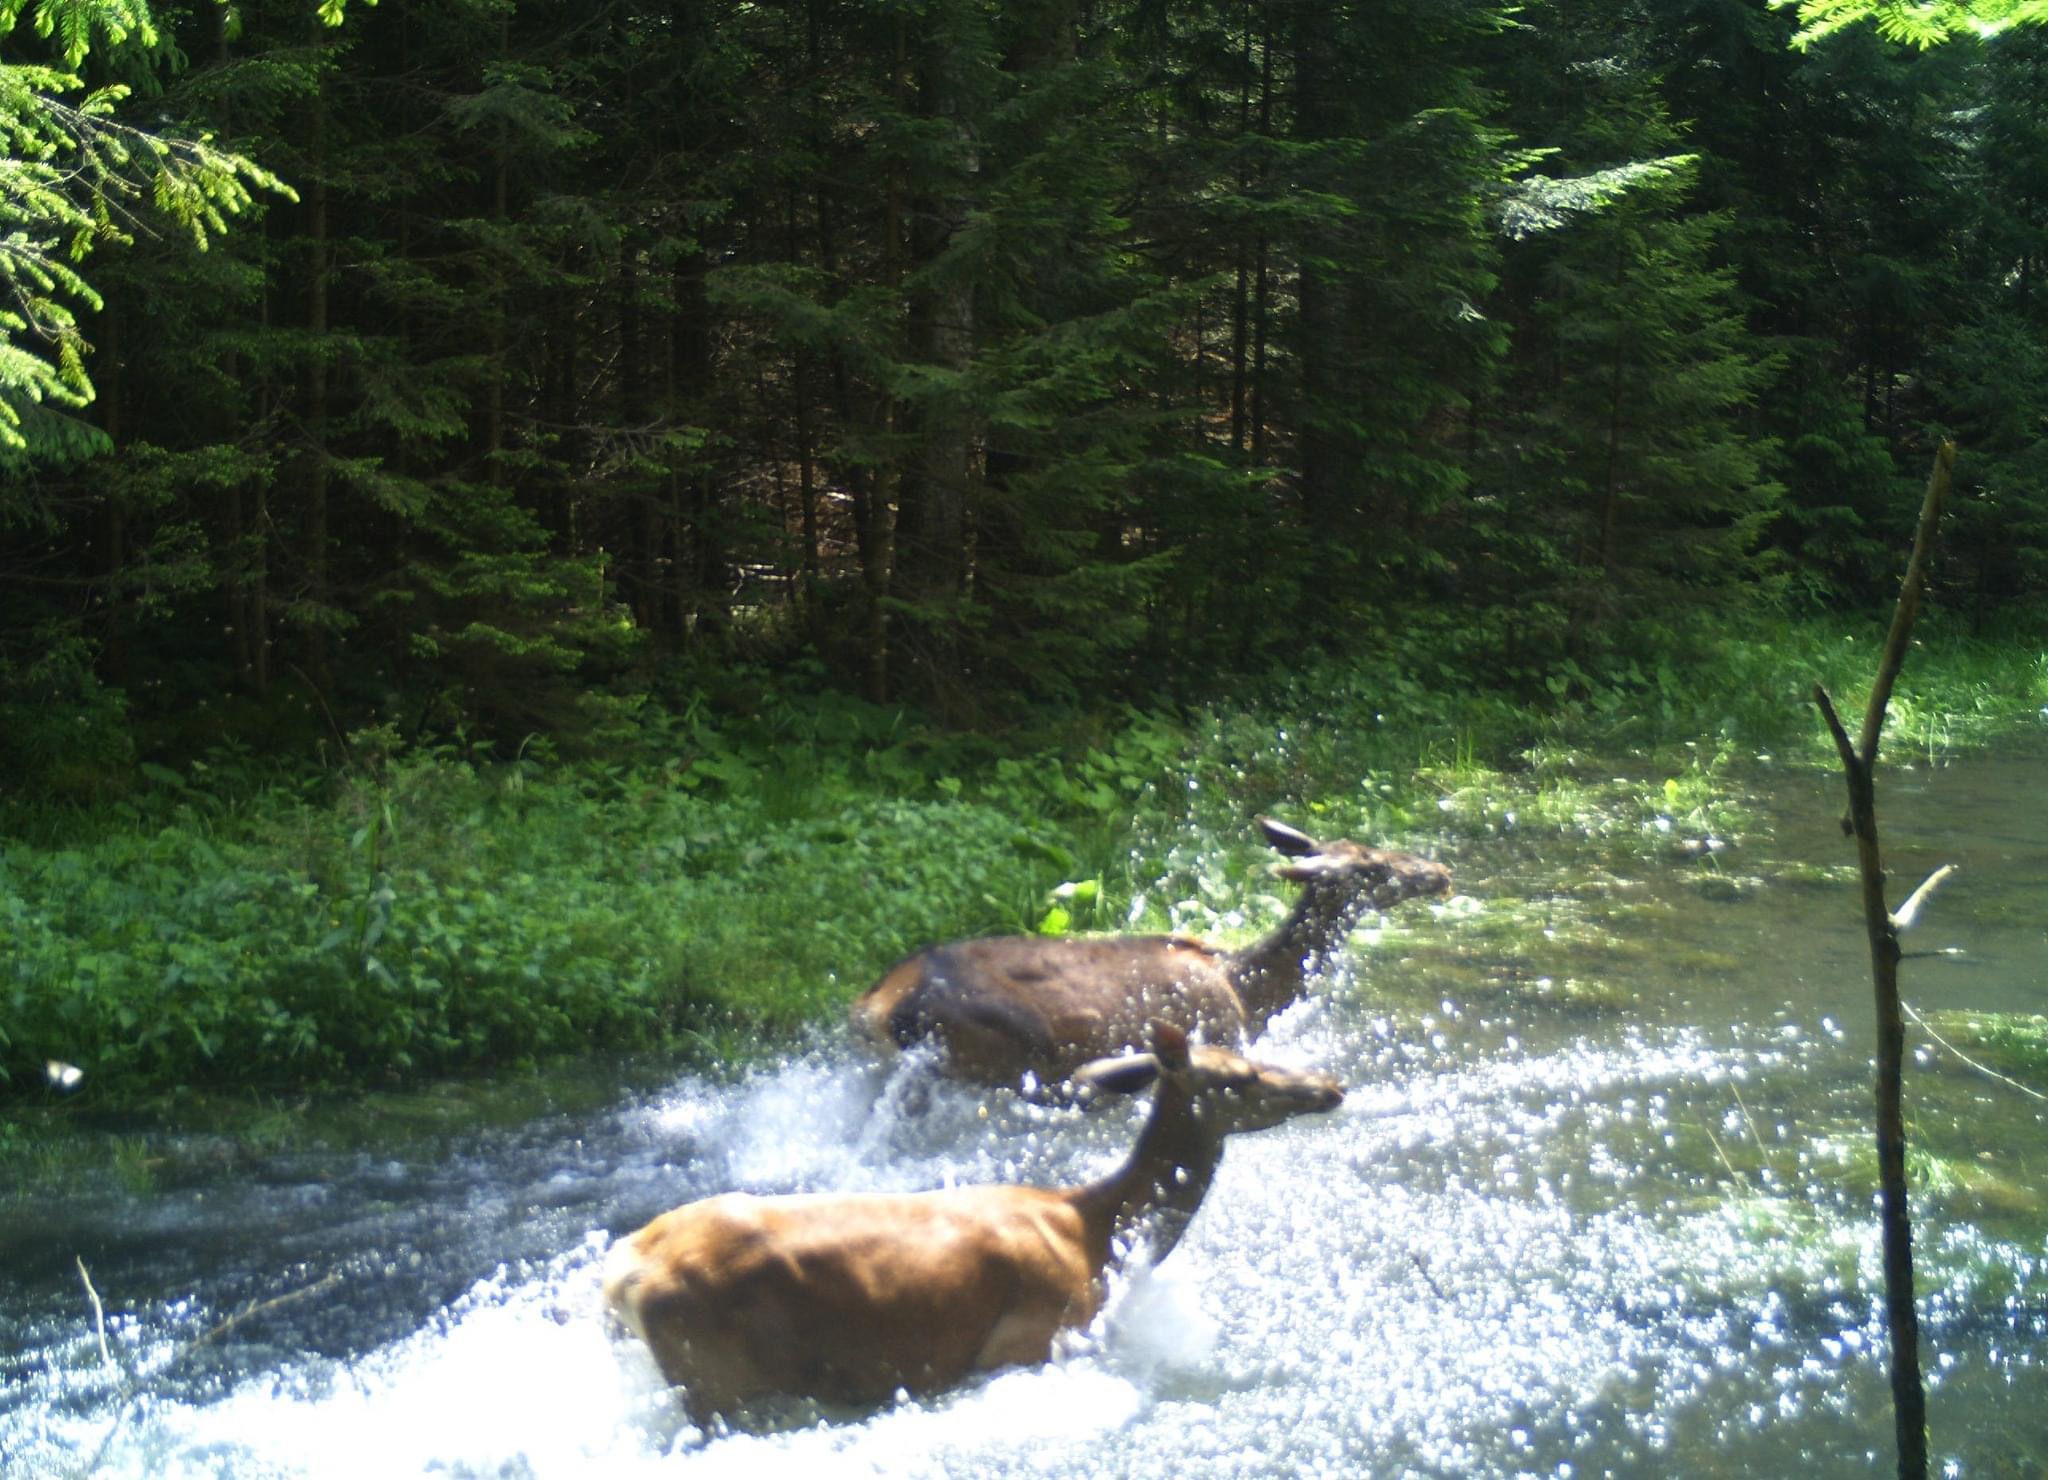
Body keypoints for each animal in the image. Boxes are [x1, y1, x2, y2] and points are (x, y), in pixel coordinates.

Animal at [602, 1019, 1343, 1424]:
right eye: (1241, 1076)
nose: (1330, 1085)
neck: (1099, 1236)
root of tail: (623, 1276)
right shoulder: (1031, 1338)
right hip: (716, 1378)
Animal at [847, 814, 1458, 1080]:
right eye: (1375, 868)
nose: (1439, 871)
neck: (1251, 989)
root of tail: (877, 1006)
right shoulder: (1219, 1037)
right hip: (990, 1055)